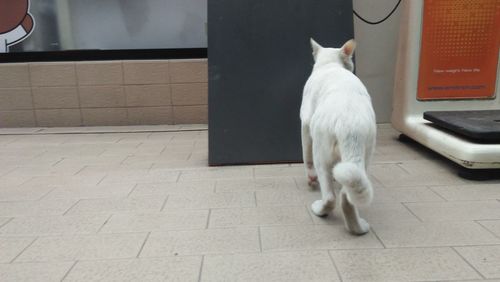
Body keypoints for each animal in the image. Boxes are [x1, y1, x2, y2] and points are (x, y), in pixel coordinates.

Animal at [298, 38, 376, 235]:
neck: (330, 65)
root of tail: (350, 126)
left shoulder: (305, 123)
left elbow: (305, 156)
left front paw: (310, 179)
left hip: (320, 151)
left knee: (330, 197)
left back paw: (319, 209)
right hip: (365, 156)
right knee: (346, 197)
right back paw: (358, 228)